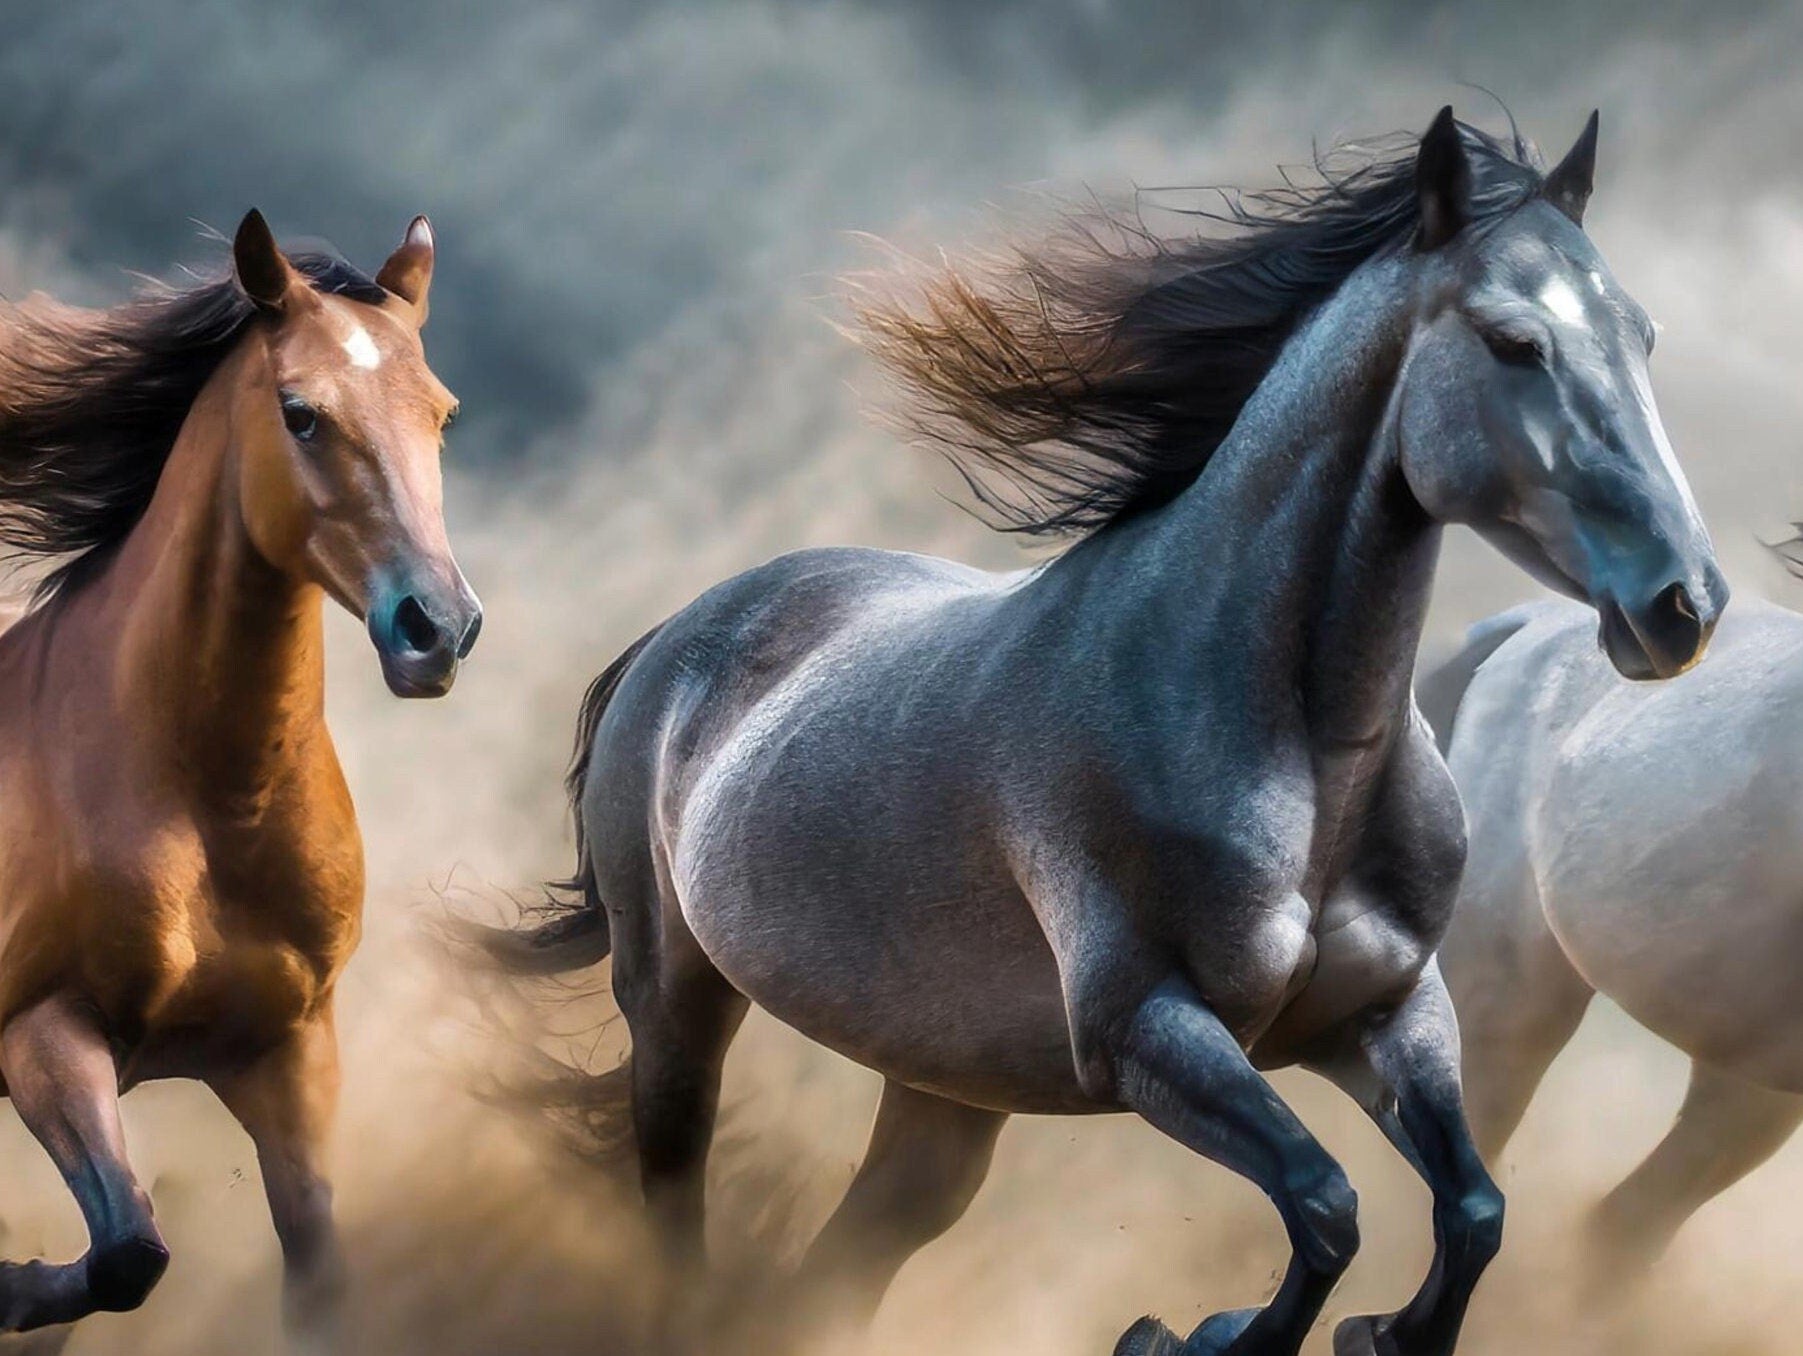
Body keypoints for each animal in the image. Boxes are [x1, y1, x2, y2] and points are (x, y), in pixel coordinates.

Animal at [0, 210, 479, 1340]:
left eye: (442, 413)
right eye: (300, 414)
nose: (437, 629)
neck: (210, 798)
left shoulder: (287, 1052)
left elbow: (313, 1276)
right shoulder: (44, 1030)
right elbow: (128, 1252)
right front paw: (14, 1287)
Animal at [484, 109, 1722, 1356]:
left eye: (1645, 336)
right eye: (1515, 344)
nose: (1684, 605)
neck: (1292, 751)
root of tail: (678, 634)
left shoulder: (1385, 1012)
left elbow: (1471, 1210)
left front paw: (1375, 1332)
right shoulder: (1145, 1031)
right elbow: (1326, 1204)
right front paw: (1198, 1335)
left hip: (942, 1091)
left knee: (837, 1265)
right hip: (677, 1004)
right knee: (677, 1222)